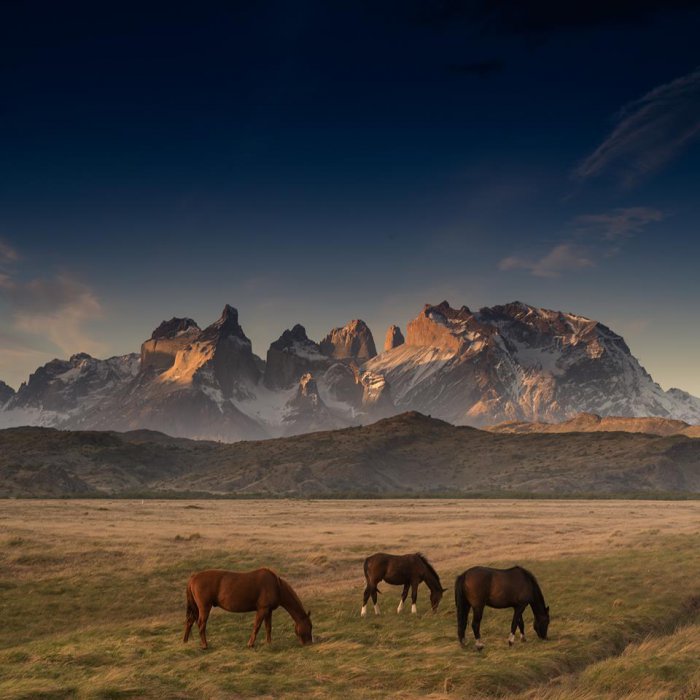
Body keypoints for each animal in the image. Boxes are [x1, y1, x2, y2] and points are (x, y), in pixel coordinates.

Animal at [183, 568, 312, 648]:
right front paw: (250, 644)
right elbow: (257, 626)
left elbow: (268, 628)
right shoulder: (262, 609)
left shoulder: (268, 611)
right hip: (204, 607)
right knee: (201, 624)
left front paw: (269, 643)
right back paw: (205, 645)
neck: (276, 585)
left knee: (190, 622)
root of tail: (193, 578)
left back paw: (185, 642)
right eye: (310, 626)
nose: (309, 643)